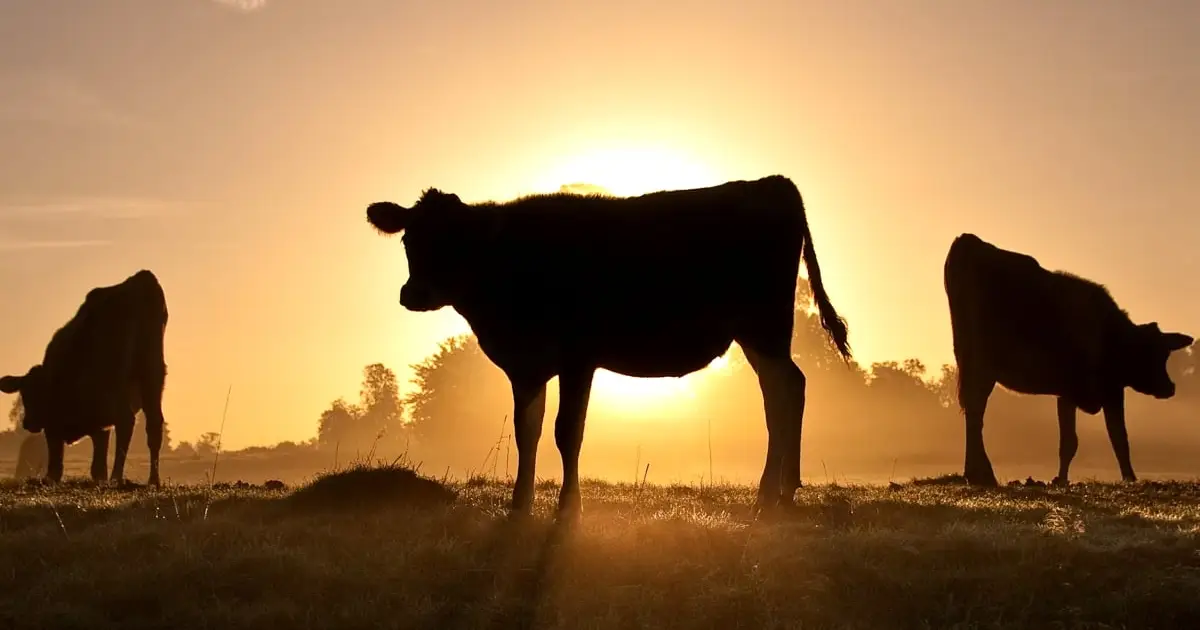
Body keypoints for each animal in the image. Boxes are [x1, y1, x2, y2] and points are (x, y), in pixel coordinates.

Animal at [0, 269, 169, 486]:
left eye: (29, 396)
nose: (28, 423)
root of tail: (141, 279)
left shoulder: (56, 424)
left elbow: (57, 462)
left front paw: (51, 478)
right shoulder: (100, 425)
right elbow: (98, 464)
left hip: (115, 383)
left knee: (126, 421)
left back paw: (117, 477)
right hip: (153, 375)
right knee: (154, 425)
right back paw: (153, 480)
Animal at [365, 175, 852, 520]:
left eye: (456, 241)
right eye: (409, 239)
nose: (413, 293)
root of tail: (773, 182)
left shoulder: (578, 356)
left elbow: (567, 432)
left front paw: (569, 507)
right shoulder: (526, 366)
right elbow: (527, 432)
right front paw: (520, 504)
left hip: (764, 325)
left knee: (783, 392)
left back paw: (769, 493)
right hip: (759, 334)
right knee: (788, 387)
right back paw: (785, 488)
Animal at [943, 233, 1192, 487]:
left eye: (1166, 353)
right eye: (1154, 353)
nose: (1170, 387)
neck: (1113, 336)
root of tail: (969, 240)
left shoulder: (1068, 392)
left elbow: (1071, 442)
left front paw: (1061, 479)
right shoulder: (1108, 389)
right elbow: (1116, 437)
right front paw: (1130, 478)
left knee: (972, 410)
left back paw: (975, 473)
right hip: (981, 364)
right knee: (975, 409)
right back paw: (981, 473)